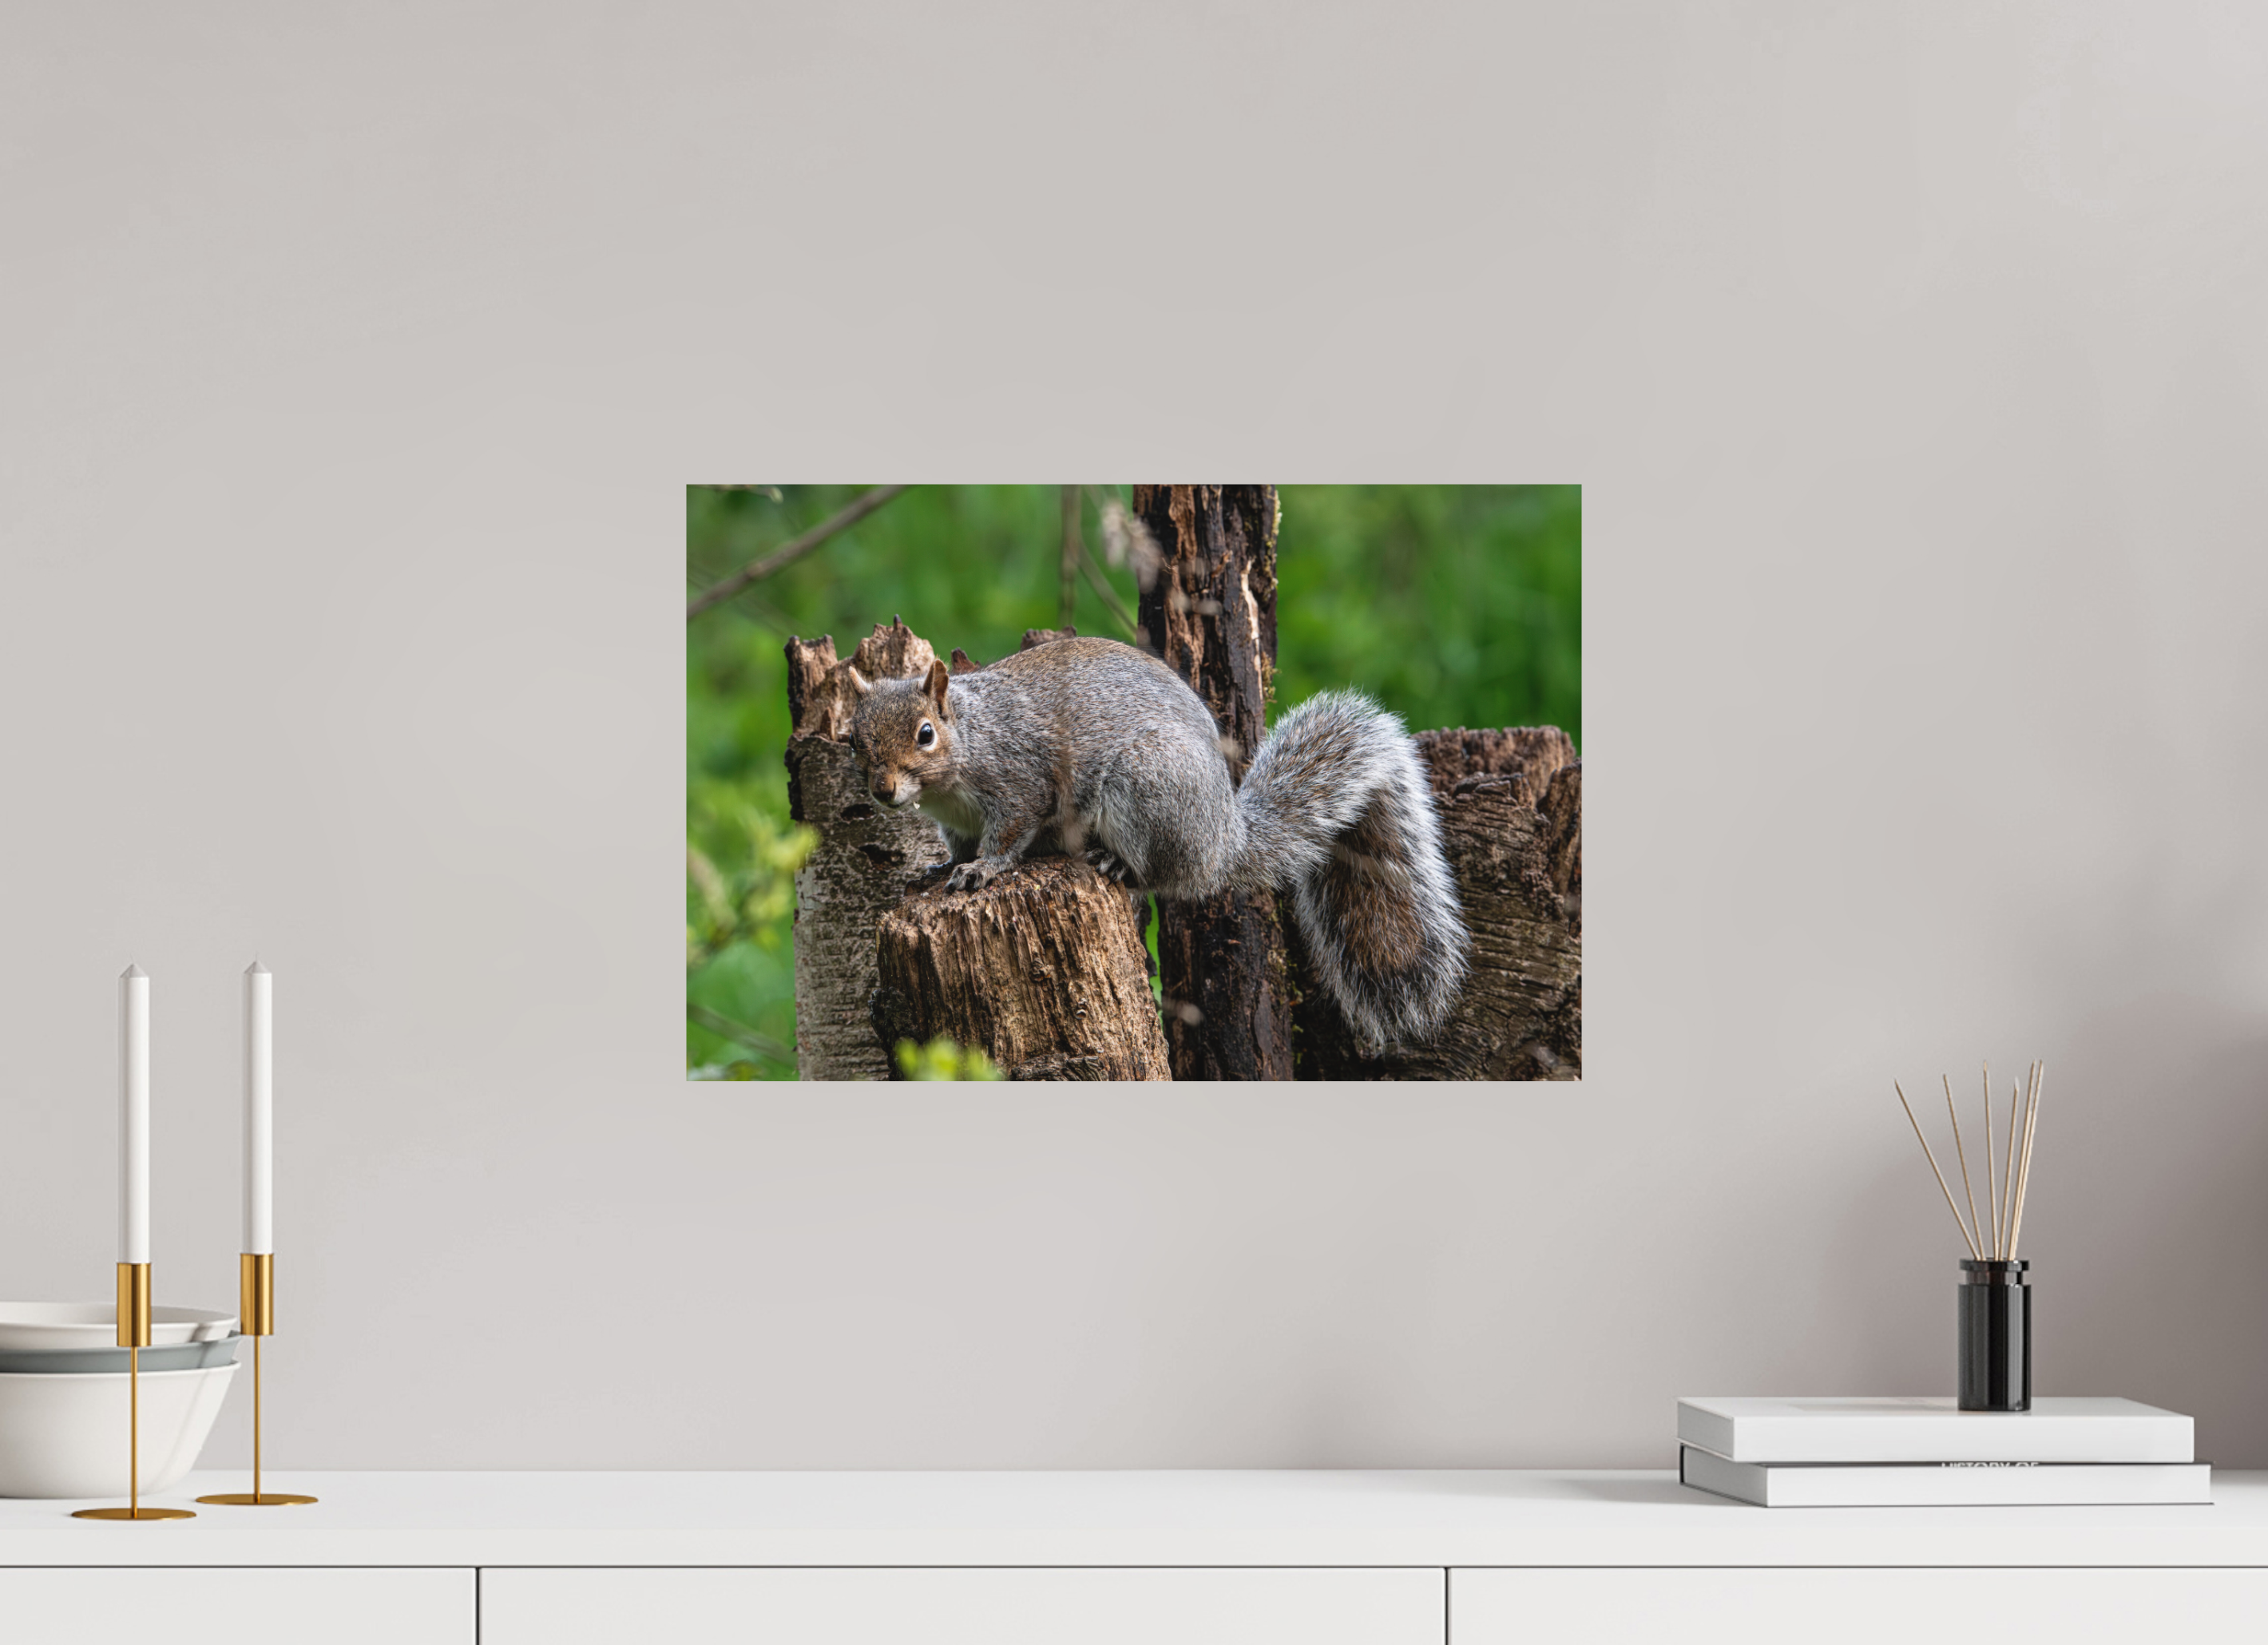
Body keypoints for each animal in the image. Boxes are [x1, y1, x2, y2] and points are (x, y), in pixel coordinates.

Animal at [846, 635, 1469, 1052]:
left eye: (926, 734)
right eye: (852, 739)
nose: (882, 790)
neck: (970, 742)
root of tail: (1224, 840)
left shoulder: (1020, 784)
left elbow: (1008, 834)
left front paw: (984, 870)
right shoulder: (955, 823)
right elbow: (956, 847)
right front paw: (937, 871)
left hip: (1147, 788)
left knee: (1162, 874)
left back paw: (1116, 863)